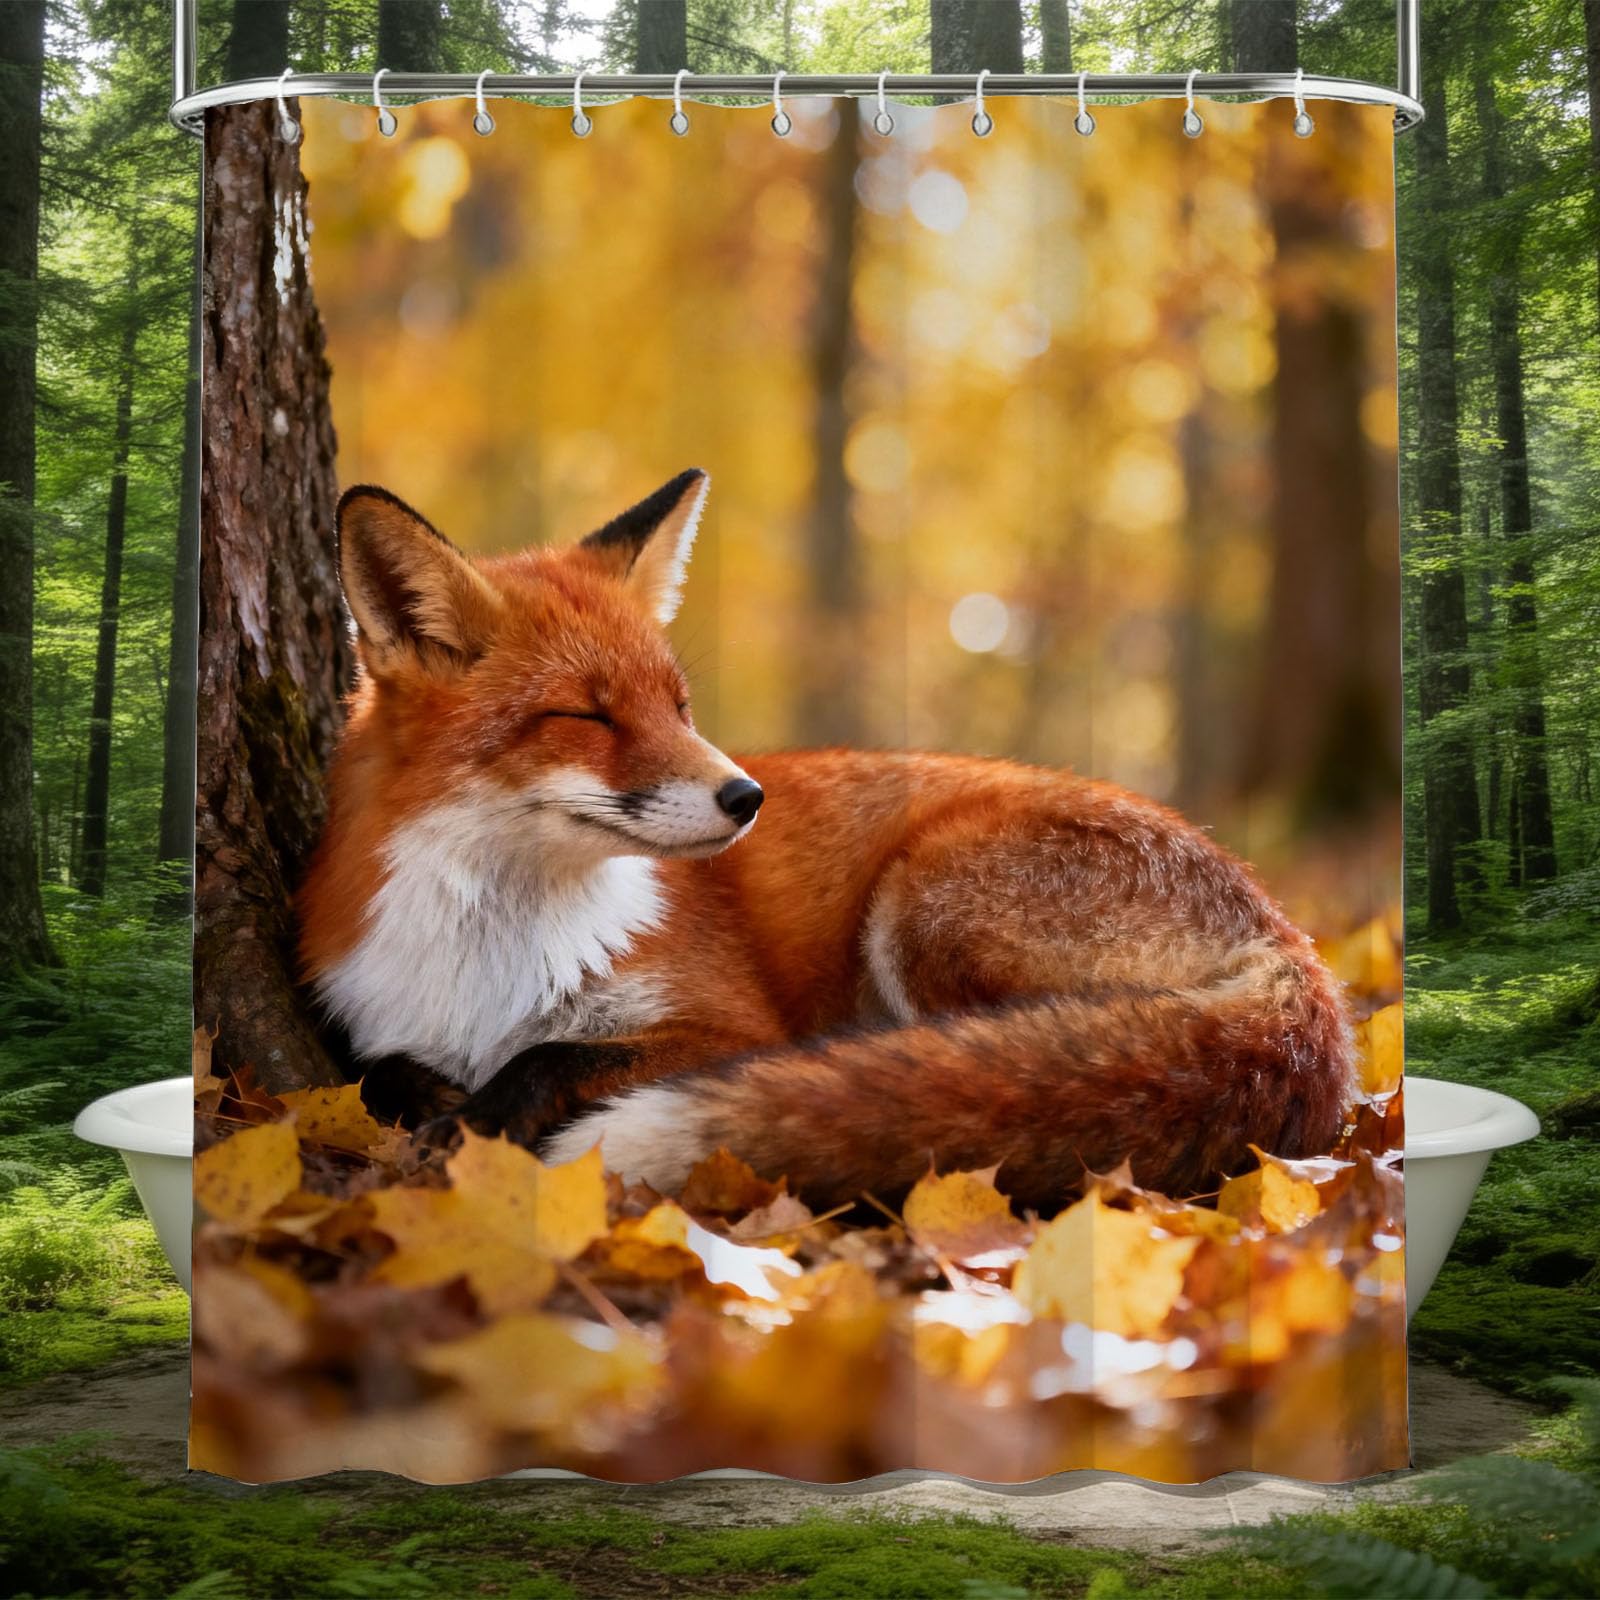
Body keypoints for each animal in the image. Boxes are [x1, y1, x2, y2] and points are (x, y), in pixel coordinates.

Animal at [297, 469, 1354, 1213]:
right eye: (587, 716)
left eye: (677, 706)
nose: (745, 796)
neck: (493, 953)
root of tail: (1292, 945)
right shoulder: (373, 1019)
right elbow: (383, 1072)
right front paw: (436, 1112)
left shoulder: (730, 1030)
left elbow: (551, 1059)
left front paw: (472, 1127)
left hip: (923, 900)